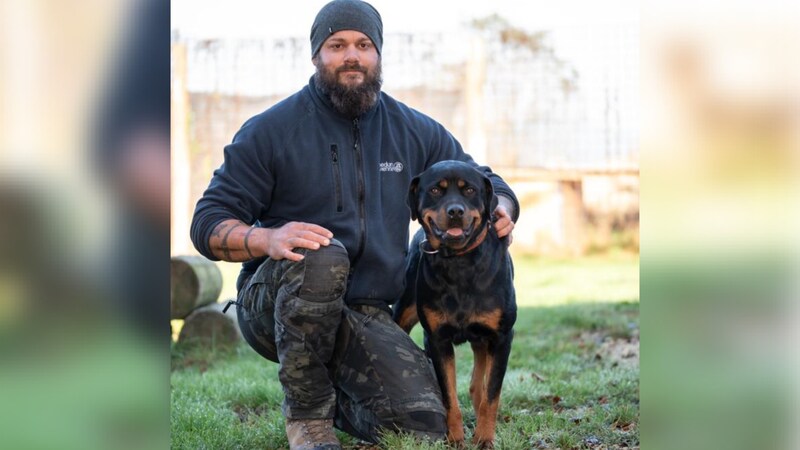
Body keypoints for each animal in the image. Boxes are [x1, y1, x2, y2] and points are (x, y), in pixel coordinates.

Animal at [396, 160, 520, 448]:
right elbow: (449, 396)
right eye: (435, 190)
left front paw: (484, 438)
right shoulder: (437, 339)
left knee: (479, 384)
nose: (455, 211)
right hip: (405, 313)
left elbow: (492, 394)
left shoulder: (501, 337)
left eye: (470, 189)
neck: (460, 262)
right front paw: (454, 438)